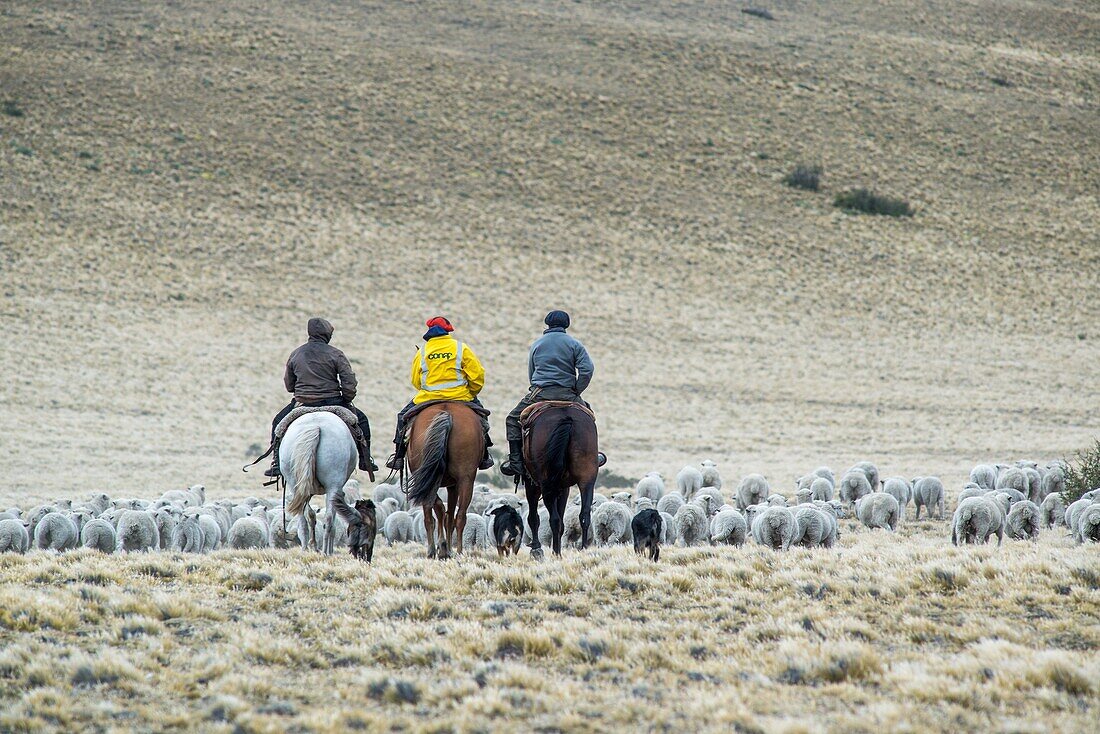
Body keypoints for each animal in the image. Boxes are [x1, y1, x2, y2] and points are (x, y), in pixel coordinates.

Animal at [281, 411, 354, 554]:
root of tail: (315, 425)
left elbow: (310, 515)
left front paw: (313, 545)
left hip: (295, 486)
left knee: (302, 519)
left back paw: (305, 548)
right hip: (333, 485)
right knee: (329, 520)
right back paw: (326, 551)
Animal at [400, 402, 477, 556]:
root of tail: (446, 413)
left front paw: (443, 547)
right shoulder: (452, 484)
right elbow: (448, 514)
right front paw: (446, 548)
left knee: (432, 515)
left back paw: (436, 550)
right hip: (465, 479)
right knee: (459, 516)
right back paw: (457, 551)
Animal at [519, 407, 598, 556]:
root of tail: (567, 417)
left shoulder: (531, 483)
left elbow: (533, 517)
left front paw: (536, 547)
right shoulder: (563, 488)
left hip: (545, 485)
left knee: (554, 519)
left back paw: (556, 553)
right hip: (587, 479)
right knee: (584, 515)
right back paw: (583, 548)